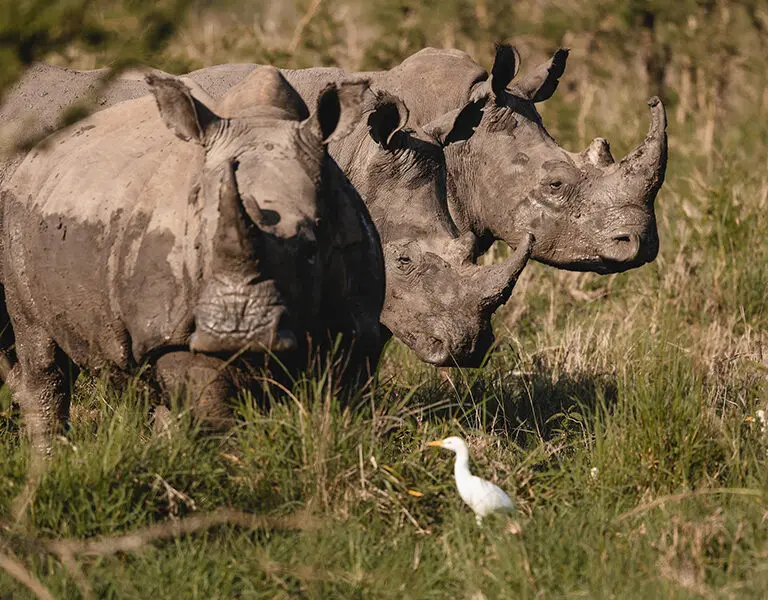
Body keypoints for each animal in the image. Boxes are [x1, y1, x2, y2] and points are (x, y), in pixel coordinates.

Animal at [0, 68, 385, 449]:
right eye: (199, 245)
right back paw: (48, 456)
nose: (236, 332)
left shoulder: (356, 326)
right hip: (18, 213)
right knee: (40, 350)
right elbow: (214, 416)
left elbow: (341, 409)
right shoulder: (175, 334)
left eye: (311, 250)